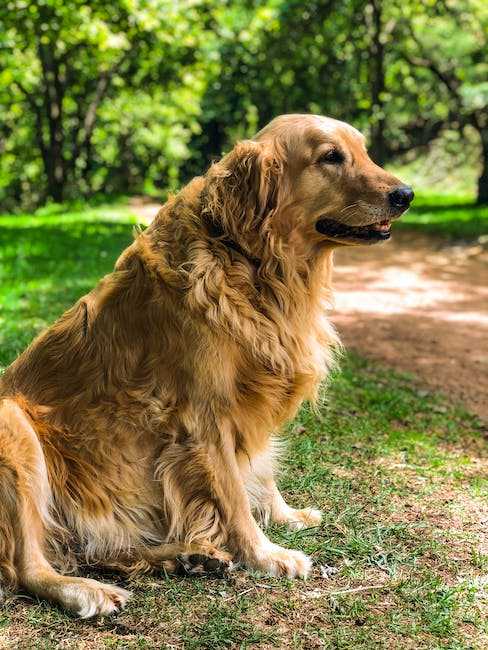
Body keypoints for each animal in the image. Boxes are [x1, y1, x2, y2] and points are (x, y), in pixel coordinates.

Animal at [0, 114, 412, 616]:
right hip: (14, 426)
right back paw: (87, 589)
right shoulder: (205, 417)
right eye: (331, 157)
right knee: (27, 566)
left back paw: (187, 557)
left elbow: (260, 472)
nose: (406, 194)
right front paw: (266, 554)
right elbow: (232, 495)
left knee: (102, 551)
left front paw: (285, 515)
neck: (251, 262)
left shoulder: (250, 406)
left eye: (364, 151)